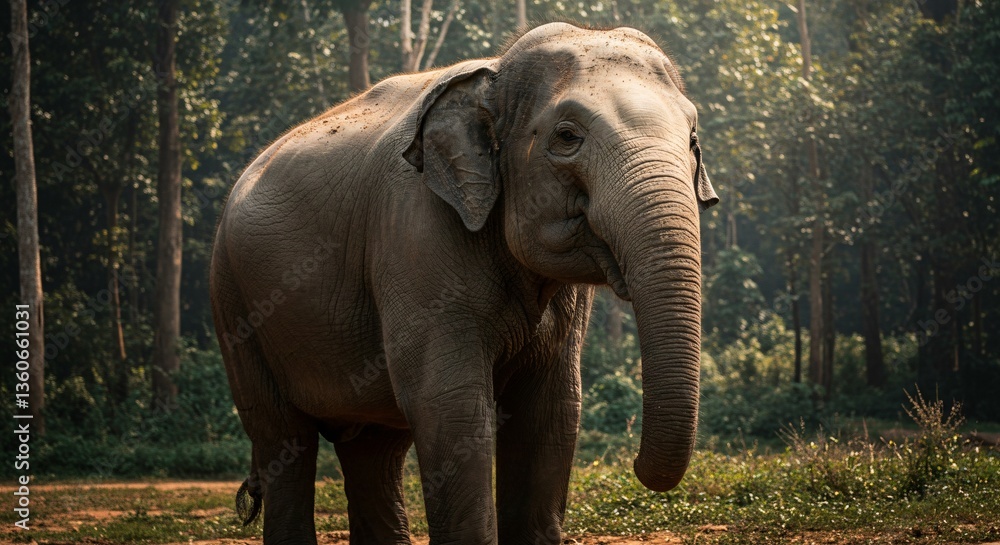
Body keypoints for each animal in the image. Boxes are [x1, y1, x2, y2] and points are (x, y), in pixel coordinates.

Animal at [210, 22, 719, 545]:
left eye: (693, 138)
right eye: (567, 136)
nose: (636, 464)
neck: (493, 74)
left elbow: (552, 411)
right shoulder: (415, 234)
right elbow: (449, 405)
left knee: (374, 450)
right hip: (233, 302)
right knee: (284, 441)